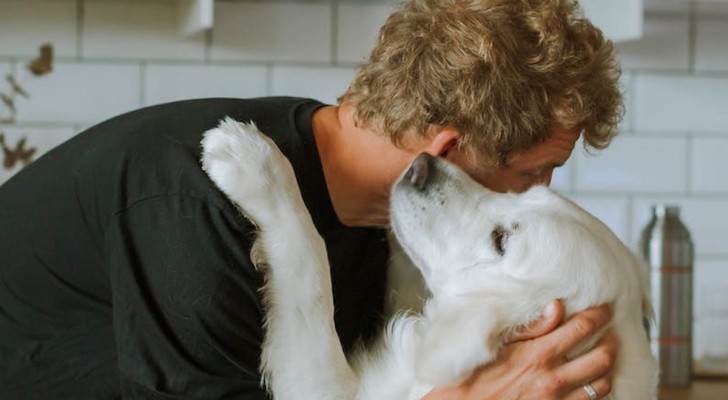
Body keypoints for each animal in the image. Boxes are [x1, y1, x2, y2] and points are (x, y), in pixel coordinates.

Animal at [200, 119, 660, 400]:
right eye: (521, 192)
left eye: (501, 240)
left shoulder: (325, 385)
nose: (421, 165)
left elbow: (310, 268)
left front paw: (254, 163)